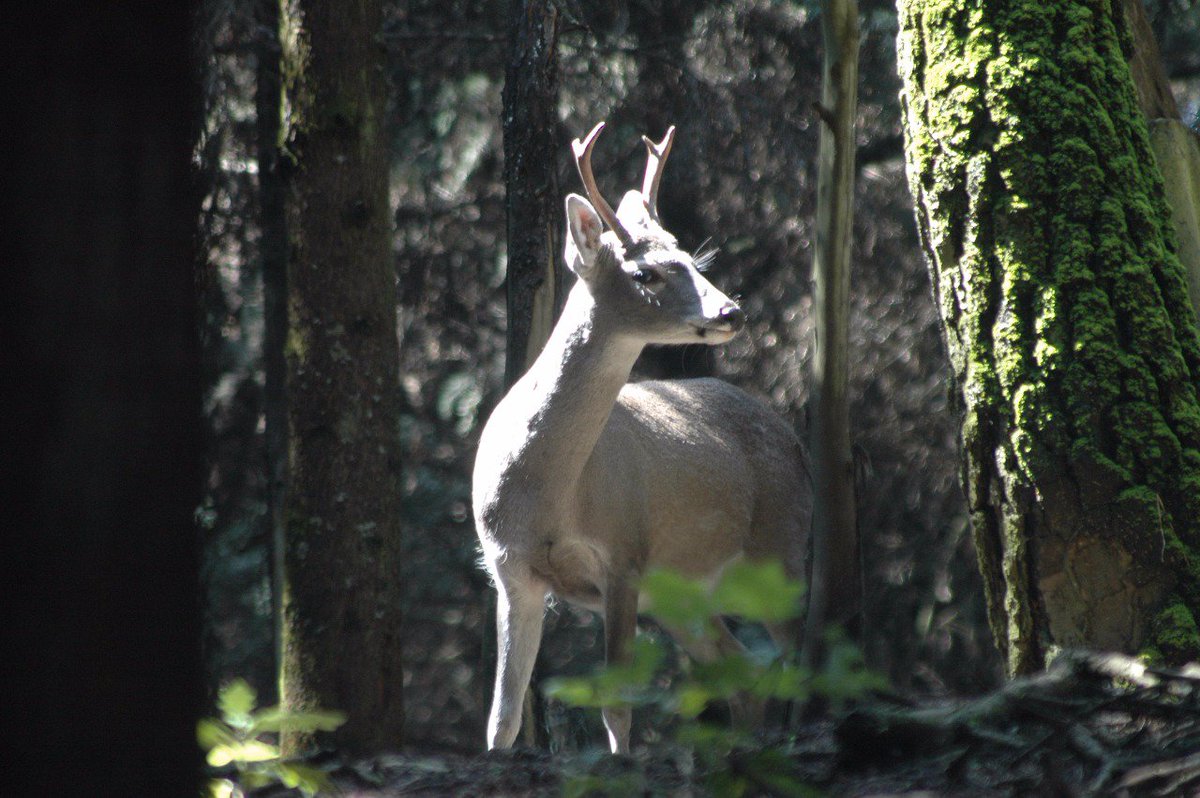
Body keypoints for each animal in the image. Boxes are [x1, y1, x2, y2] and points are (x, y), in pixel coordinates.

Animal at [472, 120, 811, 753]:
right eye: (644, 273)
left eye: (691, 258)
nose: (731, 312)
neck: (547, 495)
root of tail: (793, 436)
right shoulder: (511, 573)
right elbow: (501, 719)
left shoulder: (624, 555)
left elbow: (618, 705)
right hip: (683, 593)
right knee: (741, 672)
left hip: (781, 547)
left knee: (805, 655)